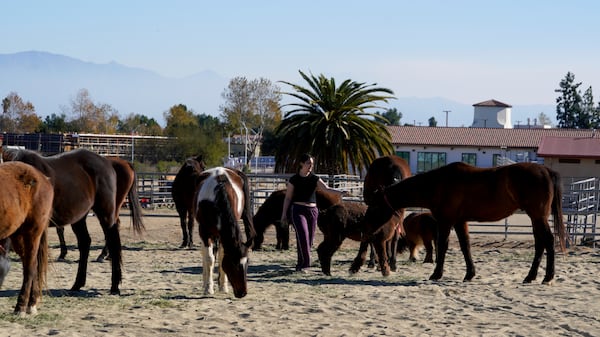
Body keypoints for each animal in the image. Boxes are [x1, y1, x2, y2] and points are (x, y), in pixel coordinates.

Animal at [0, 161, 54, 314]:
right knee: (29, 264)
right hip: (18, 235)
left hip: (33, 232)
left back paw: (22, 306)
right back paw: (31, 303)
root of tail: (43, 178)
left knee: (30, 266)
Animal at [2, 148, 146, 292]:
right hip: (79, 217)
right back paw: (78, 283)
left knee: (113, 240)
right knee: (85, 242)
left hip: (106, 213)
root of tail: (108, 162)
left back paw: (114, 285)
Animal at [195, 165, 255, 296]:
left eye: (247, 262)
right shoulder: (204, 232)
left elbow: (222, 255)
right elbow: (209, 259)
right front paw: (209, 288)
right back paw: (205, 282)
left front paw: (223, 286)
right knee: (204, 253)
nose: (242, 293)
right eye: (233, 263)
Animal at [366, 161, 568, 282]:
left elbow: (442, 246)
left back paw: (548, 277)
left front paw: (436, 274)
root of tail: (546, 170)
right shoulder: (460, 221)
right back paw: (531, 276)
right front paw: (470, 274)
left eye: (375, 206)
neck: (438, 184)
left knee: (548, 241)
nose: (368, 227)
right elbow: (465, 246)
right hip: (536, 218)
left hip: (538, 216)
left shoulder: (446, 221)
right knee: (540, 243)